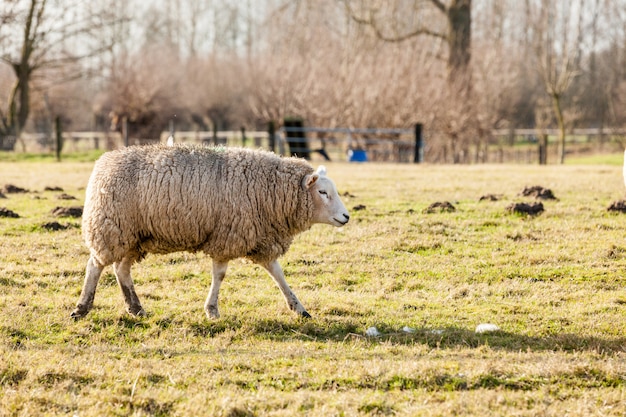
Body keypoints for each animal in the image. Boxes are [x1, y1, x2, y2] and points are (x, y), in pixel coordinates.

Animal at [72, 144, 352, 318]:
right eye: (323, 192)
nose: (346, 217)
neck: (270, 191)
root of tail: (104, 162)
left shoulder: (259, 237)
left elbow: (278, 274)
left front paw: (299, 308)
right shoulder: (228, 235)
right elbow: (220, 275)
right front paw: (212, 310)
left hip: (134, 236)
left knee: (121, 269)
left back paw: (135, 307)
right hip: (111, 228)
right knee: (95, 265)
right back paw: (82, 307)